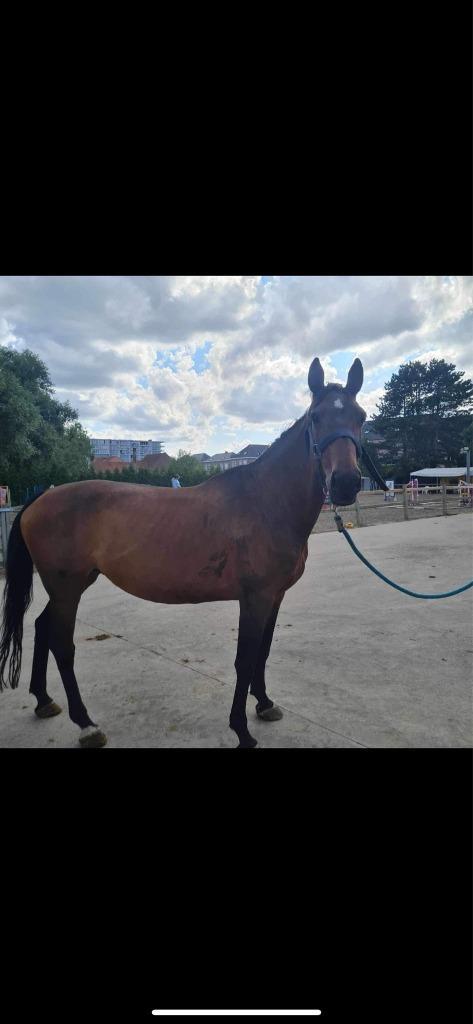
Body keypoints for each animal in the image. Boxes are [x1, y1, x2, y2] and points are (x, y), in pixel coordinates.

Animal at [0, 356, 366, 749]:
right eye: (316, 417)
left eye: (360, 417)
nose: (346, 483)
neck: (266, 501)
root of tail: (42, 496)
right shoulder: (254, 598)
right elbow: (245, 659)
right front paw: (241, 729)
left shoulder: (274, 596)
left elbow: (263, 652)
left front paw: (265, 703)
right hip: (66, 588)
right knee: (62, 644)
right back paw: (86, 724)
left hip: (71, 585)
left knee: (41, 627)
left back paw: (44, 701)